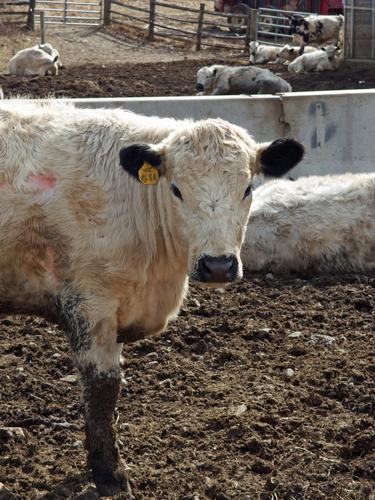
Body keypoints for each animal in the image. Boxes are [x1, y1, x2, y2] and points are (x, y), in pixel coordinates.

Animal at [0, 101, 306, 496]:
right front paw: (110, 474)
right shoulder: (91, 302)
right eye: (176, 189)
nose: (218, 266)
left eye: (247, 187)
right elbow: (103, 388)